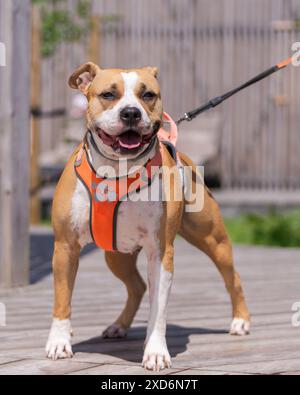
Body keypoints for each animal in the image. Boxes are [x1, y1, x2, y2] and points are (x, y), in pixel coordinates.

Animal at [45, 63, 251, 372]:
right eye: (108, 94)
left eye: (148, 95)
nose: (131, 112)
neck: (116, 171)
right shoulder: (65, 246)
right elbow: (62, 299)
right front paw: (59, 341)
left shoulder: (160, 252)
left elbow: (159, 310)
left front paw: (155, 351)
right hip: (115, 255)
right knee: (137, 286)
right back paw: (119, 326)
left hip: (214, 241)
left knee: (232, 277)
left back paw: (240, 320)